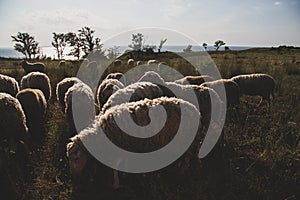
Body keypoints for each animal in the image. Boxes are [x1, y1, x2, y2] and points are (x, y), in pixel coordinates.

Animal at [67, 97, 203, 187]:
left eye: (76, 158)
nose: (73, 177)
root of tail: (196, 111)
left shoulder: (119, 147)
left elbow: (115, 167)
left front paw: (116, 184)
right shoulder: (127, 147)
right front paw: (125, 176)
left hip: (185, 140)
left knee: (187, 158)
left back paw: (181, 173)